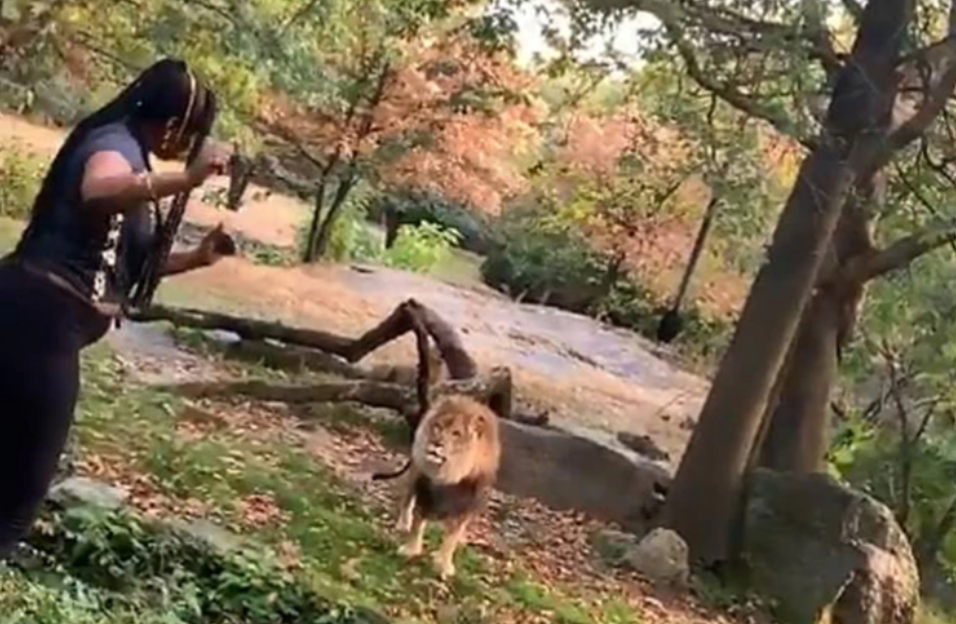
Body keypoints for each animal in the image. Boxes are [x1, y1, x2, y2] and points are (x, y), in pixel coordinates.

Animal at [392, 394, 504, 580]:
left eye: (456, 433)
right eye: (438, 426)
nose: (436, 442)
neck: (448, 474)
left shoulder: (465, 505)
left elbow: (451, 538)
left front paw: (443, 565)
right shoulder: (425, 492)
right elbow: (417, 524)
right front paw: (410, 550)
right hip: (414, 472)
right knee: (407, 500)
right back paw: (402, 524)